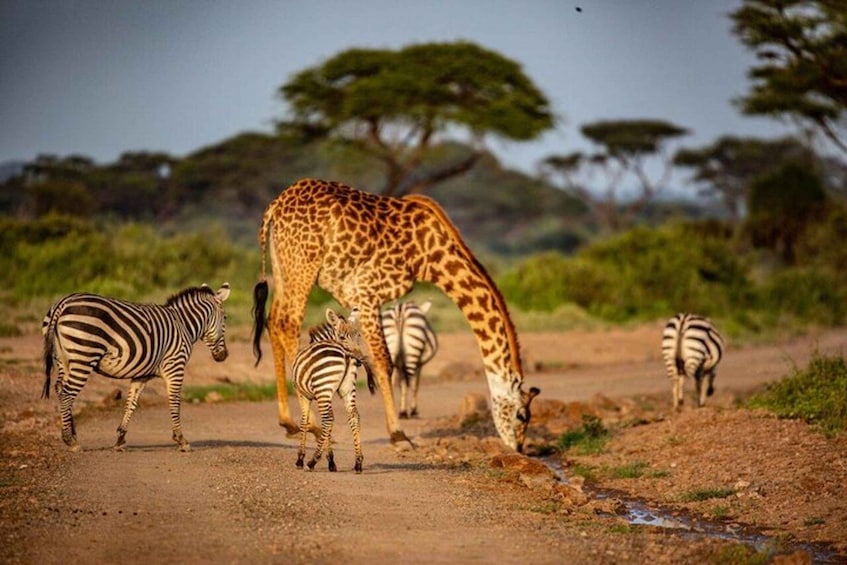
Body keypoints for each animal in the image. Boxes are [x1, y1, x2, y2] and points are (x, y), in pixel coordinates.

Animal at [41, 283, 231, 452]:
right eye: (225, 318)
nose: (224, 356)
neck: (183, 324)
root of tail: (63, 303)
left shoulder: (142, 375)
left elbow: (131, 403)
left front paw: (120, 439)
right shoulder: (175, 366)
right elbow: (175, 401)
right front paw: (181, 440)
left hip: (64, 360)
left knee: (60, 389)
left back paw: (71, 433)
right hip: (84, 355)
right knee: (67, 393)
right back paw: (71, 441)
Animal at [251, 179, 540, 451]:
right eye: (522, 416)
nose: (518, 448)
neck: (429, 255)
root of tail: (274, 207)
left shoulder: (372, 298)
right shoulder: (367, 291)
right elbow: (384, 362)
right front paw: (399, 435)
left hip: (283, 266)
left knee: (273, 321)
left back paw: (289, 423)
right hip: (303, 264)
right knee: (288, 324)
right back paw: (313, 426)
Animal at [294, 308, 375, 473]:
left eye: (358, 336)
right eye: (343, 336)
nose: (359, 359)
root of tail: (346, 354)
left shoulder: (303, 394)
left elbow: (304, 421)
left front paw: (300, 458)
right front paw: (331, 461)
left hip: (323, 388)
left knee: (328, 419)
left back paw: (311, 462)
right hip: (347, 390)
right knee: (353, 416)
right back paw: (358, 462)